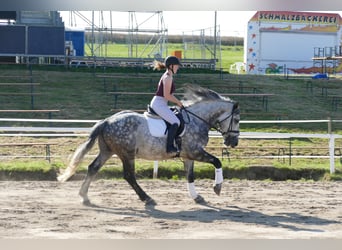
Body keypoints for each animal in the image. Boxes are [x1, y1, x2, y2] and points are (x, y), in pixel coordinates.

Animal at [58, 85, 240, 205]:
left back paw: (84, 196)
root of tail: (106, 121)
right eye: (237, 120)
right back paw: (147, 198)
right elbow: (217, 161)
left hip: (108, 151)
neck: (197, 119)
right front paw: (217, 187)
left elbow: (190, 176)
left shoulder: (188, 155)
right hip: (127, 153)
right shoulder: (195, 151)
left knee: (93, 168)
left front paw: (197, 197)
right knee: (129, 176)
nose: (233, 142)